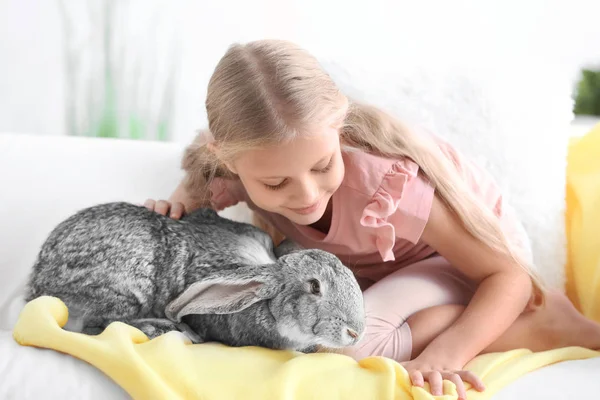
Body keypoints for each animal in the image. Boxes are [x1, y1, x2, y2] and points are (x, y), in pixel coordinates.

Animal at [24, 203, 366, 354]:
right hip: (125, 290)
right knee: (94, 326)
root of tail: (38, 286)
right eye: (314, 287)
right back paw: (166, 328)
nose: (356, 332)